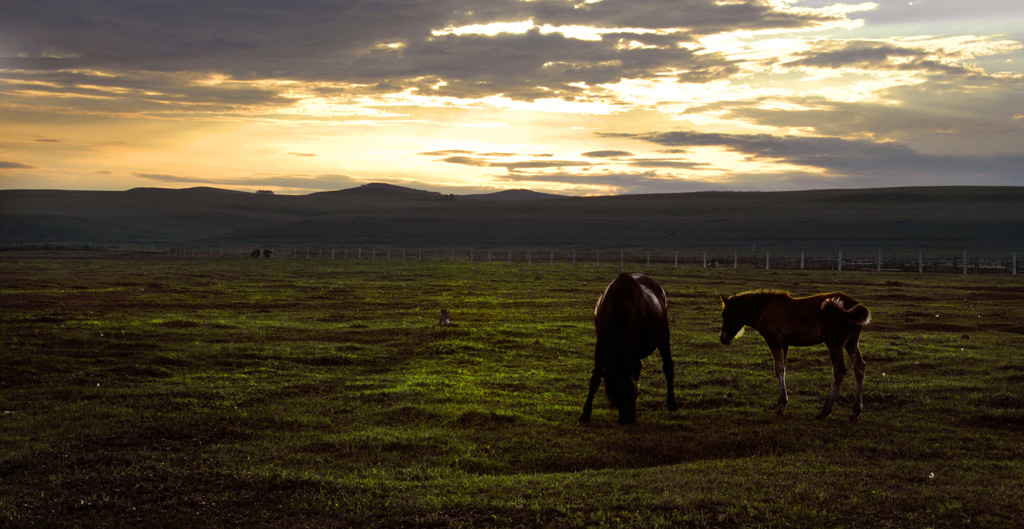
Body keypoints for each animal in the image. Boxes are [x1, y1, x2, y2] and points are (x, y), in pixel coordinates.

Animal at [581, 272, 675, 425]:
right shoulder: (601, 342)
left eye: (630, 393)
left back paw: (672, 403)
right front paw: (585, 414)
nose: (626, 420)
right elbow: (595, 378)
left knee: (668, 366)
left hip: (663, 334)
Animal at [716, 290, 868, 419]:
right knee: (859, 367)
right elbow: (783, 369)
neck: (763, 309)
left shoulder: (774, 340)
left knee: (839, 370)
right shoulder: (785, 344)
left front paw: (781, 406)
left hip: (834, 344)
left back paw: (824, 411)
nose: (723, 338)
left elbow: (778, 369)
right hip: (851, 343)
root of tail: (855, 305)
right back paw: (856, 411)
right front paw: (782, 404)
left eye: (724, 315)